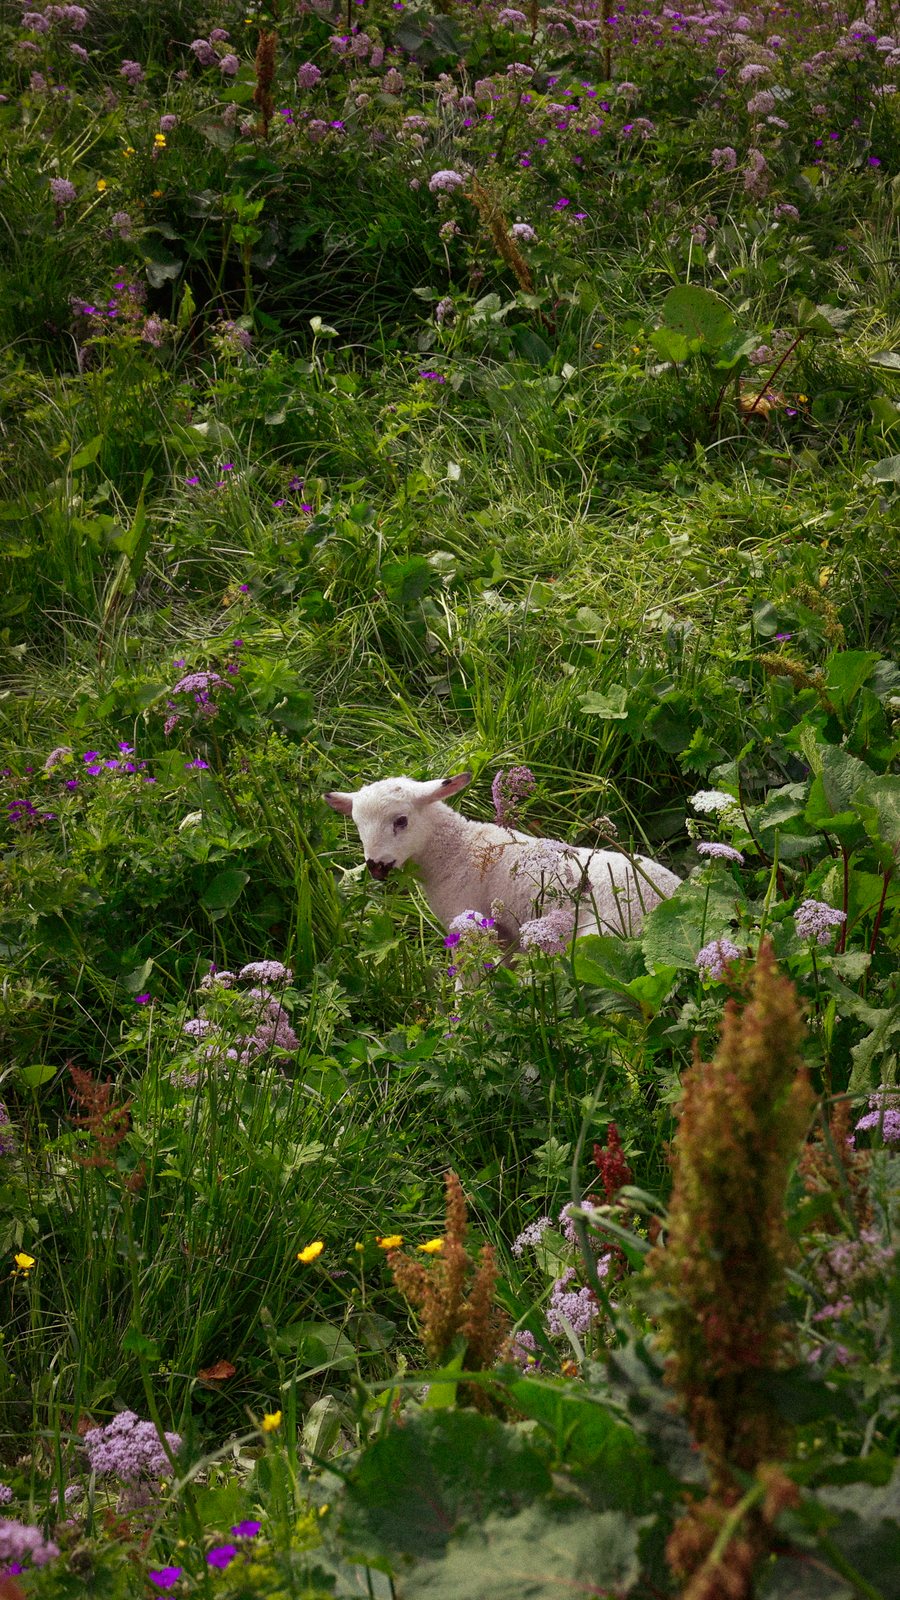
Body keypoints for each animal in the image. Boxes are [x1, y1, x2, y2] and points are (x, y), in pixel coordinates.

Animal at [324, 772, 680, 951]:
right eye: (357, 824)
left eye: (401, 821)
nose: (376, 866)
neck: (457, 850)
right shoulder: (503, 931)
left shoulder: (467, 921)